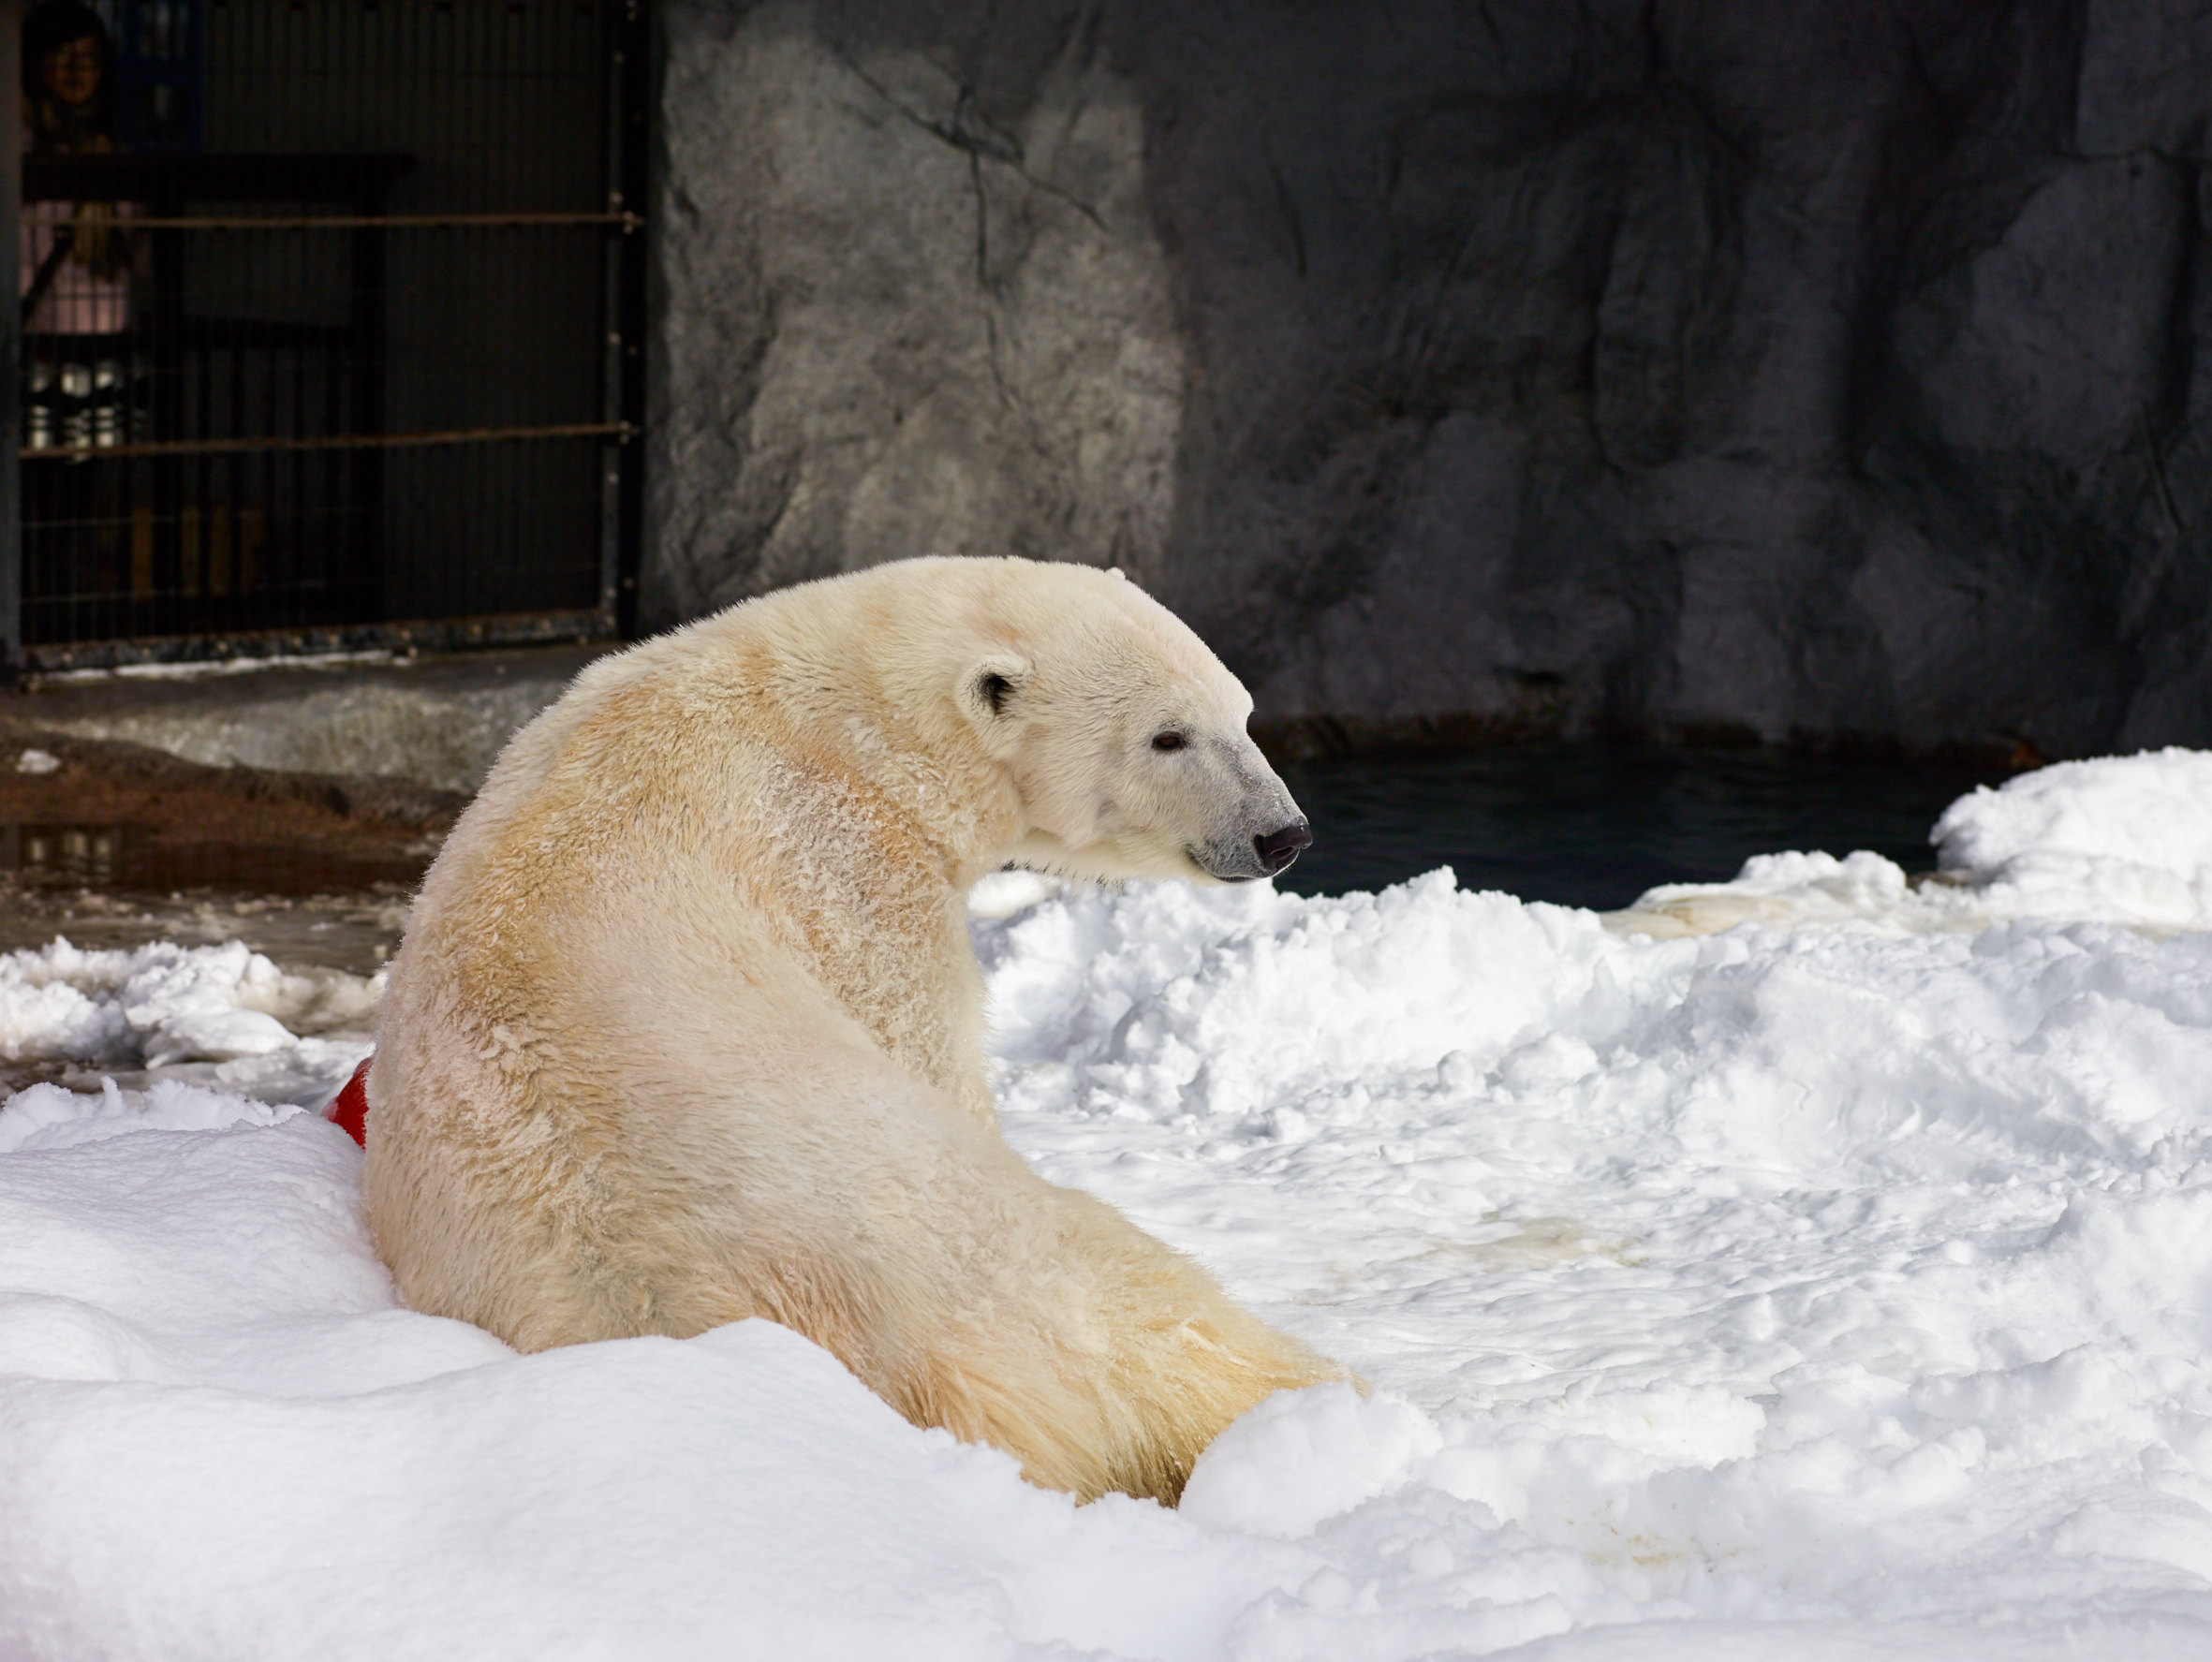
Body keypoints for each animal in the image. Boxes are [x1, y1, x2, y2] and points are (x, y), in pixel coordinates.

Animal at [362, 555, 1335, 1505]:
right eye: (1168, 736)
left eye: (1242, 714)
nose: (1283, 833)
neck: (852, 716)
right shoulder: (844, 859)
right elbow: (921, 1038)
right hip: (995, 1254)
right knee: (1160, 1314)